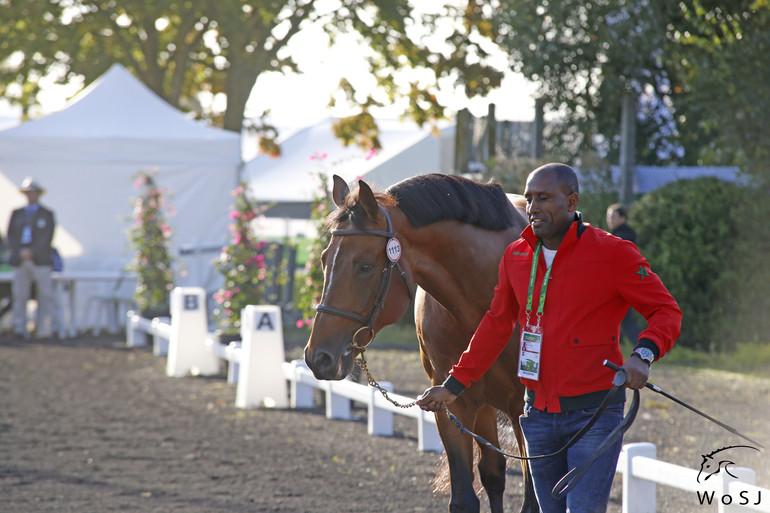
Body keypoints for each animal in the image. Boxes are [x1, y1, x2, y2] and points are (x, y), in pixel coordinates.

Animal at [304, 173, 536, 512]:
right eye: (324, 259)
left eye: (365, 266)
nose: (317, 357)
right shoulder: (452, 406)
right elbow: (464, 499)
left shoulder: (526, 415)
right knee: (493, 472)